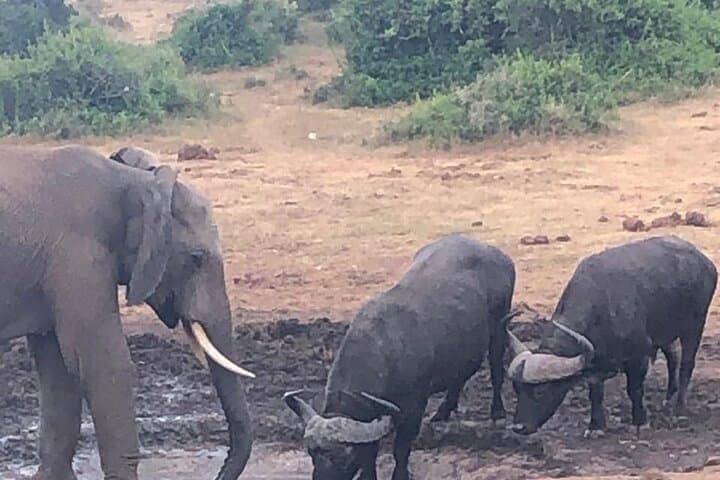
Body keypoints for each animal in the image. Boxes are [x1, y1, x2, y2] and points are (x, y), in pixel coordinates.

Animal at [0, 144, 255, 480]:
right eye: (196, 258)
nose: (217, 473)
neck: (132, 182)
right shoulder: (77, 257)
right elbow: (104, 363)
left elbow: (59, 369)